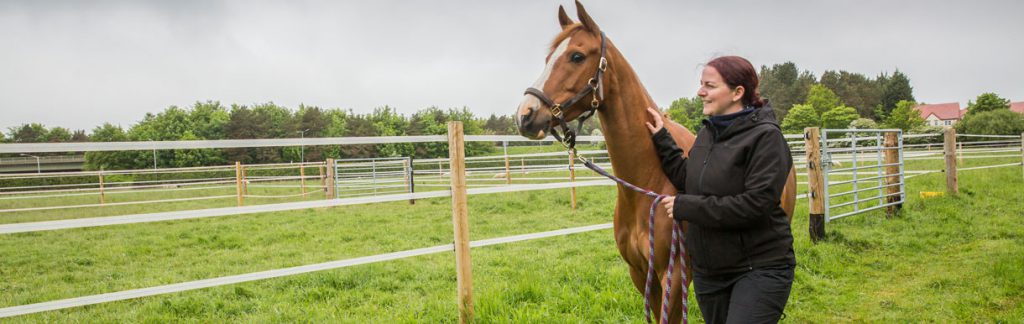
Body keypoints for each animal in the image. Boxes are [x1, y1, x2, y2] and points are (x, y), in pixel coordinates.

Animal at [512, 1, 798, 321]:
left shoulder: (673, 275)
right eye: (548, 58)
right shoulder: (640, 274)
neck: (647, 183)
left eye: (576, 56)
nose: (525, 115)